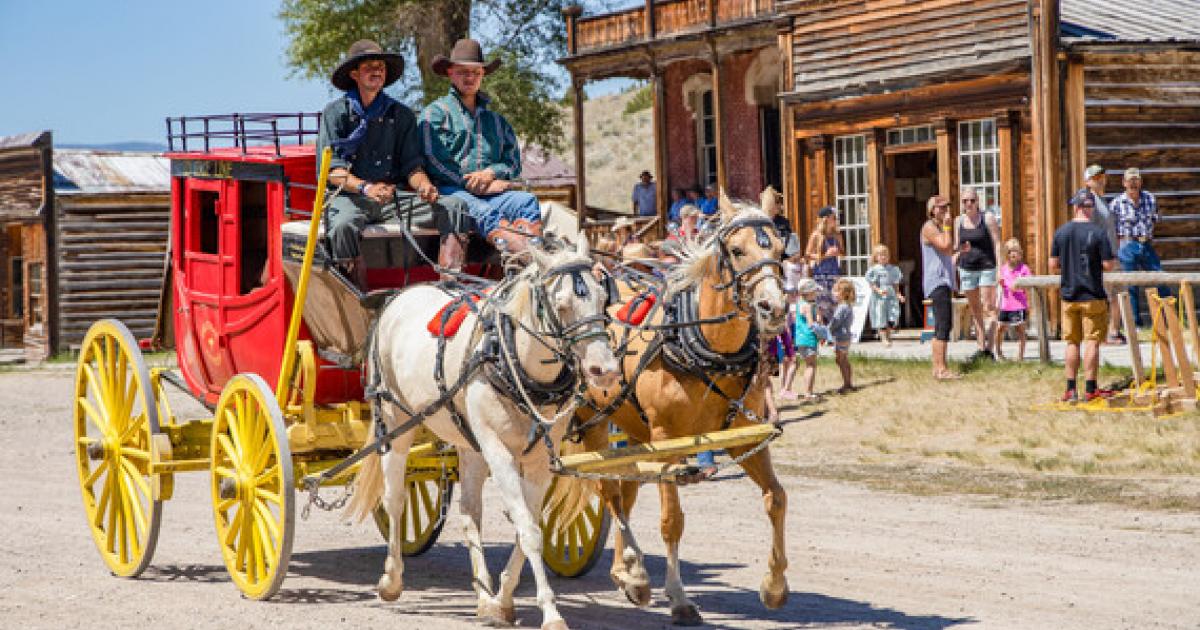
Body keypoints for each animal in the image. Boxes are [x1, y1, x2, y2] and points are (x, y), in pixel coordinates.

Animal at [348, 235, 619, 628]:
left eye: (602, 295)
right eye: (562, 304)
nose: (605, 370)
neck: (512, 361)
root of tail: (400, 294)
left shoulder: (538, 459)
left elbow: (528, 526)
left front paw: (503, 599)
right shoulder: (498, 450)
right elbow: (528, 529)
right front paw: (550, 611)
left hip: (468, 442)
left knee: (468, 512)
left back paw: (483, 596)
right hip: (395, 422)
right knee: (395, 498)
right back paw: (391, 579)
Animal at [549, 193, 792, 624]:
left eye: (780, 249)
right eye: (737, 250)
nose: (774, 308)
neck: (705, 346)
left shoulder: (744, 437)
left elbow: (776, 498)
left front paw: (774, 586)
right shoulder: (667, 442)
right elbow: (671, 522)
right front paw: (679, 597)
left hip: (630, 427)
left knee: (623, 490)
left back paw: (628, 572)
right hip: (591, 422)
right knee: (609, 492)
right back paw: (635, 572)